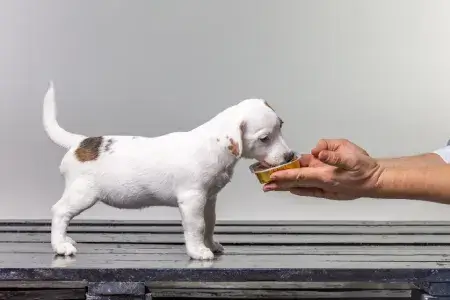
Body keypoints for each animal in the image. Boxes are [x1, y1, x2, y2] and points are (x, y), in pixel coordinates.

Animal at [43, 82, 296, 260]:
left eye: (281, 126)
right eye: (264, 138)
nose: (289, 156)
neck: (213, 145)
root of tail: (80, 143)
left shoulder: (209, 199)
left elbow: (210, 223)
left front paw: (210, 244)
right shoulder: (192, 199)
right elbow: (197, 226)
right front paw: (198, 251)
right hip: (82, 194)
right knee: (60, 212)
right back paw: (60, 245)